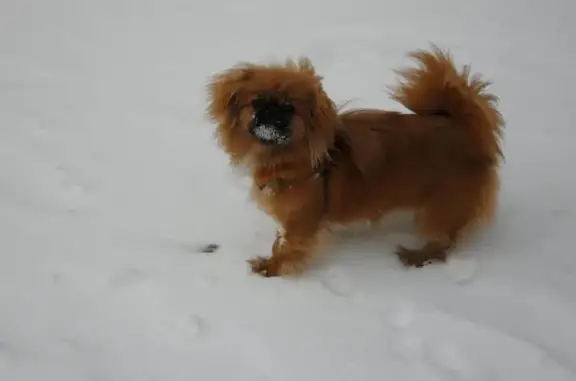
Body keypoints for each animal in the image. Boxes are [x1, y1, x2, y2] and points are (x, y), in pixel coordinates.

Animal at [205, 45, 502, 276]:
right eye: (258, 103)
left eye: (289, 109)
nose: (271, 113)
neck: (284, 157)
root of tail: (465, 128)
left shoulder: (301, 223)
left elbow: (288, 249)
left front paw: (270, 268)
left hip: (440, 210)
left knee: (443, 244)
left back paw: (415, 257)